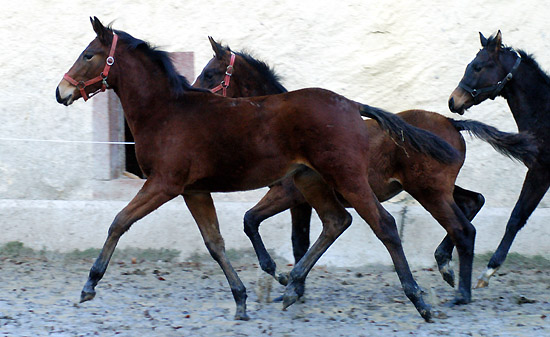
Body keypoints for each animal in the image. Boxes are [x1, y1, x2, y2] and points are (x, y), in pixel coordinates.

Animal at [194, 38, 540, 306]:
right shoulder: (301, 201)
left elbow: (253, 221)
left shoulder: (288, 194)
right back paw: (446, 267)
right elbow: (294, 238)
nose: (193, 96)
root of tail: (454, 122)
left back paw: (462, 293)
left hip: (428, 191)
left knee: (463, 229)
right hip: (437, 188)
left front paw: (282, 277)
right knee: (473, 202)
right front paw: (293, 286)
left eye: (210, 73)